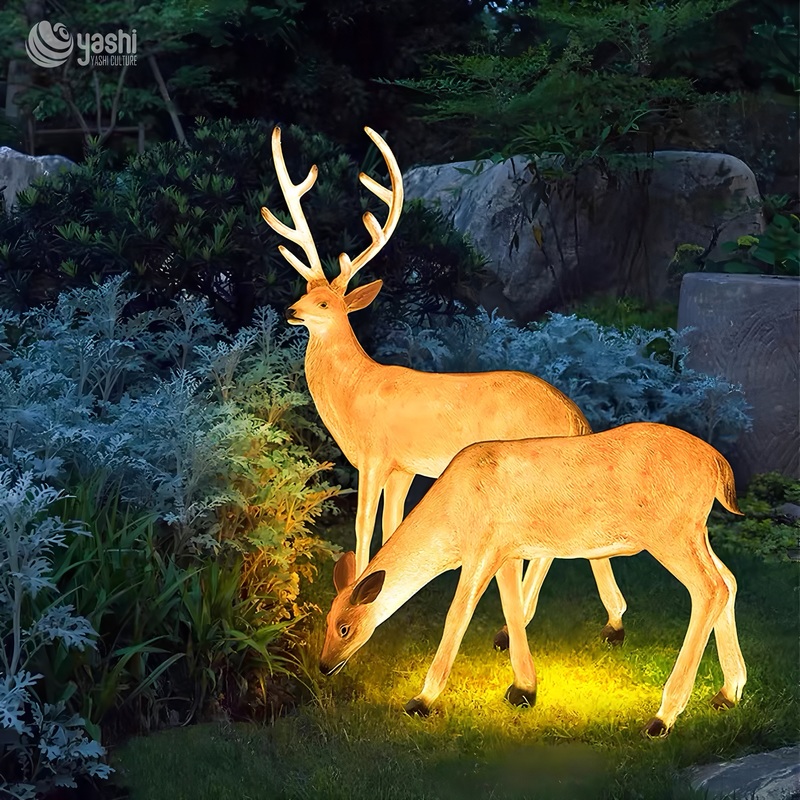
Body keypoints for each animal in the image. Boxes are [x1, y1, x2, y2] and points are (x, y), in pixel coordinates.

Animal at [260, 125, 628, 649]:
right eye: (305, 291)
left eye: (328, 303)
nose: (292, 312)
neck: (354, 390)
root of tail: (576, 416)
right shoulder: (404, 467)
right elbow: (392, 525)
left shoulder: (375, 456)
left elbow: (363, 526)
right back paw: (610, 621)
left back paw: (512, 627)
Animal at [319, 422, 747, 737]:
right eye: (326, 622)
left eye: (344, 628)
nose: (323, 666)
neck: (450, 519)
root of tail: (718, 465)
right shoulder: (507, 550)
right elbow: (512, 608)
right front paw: (524, 689)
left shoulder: (483, 547)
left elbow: (457, 615)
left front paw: (421, 700)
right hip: (694, 531)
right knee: (729, 580)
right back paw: (728, 693)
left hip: (668, 530)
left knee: (709, 588)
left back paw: (663, 717)